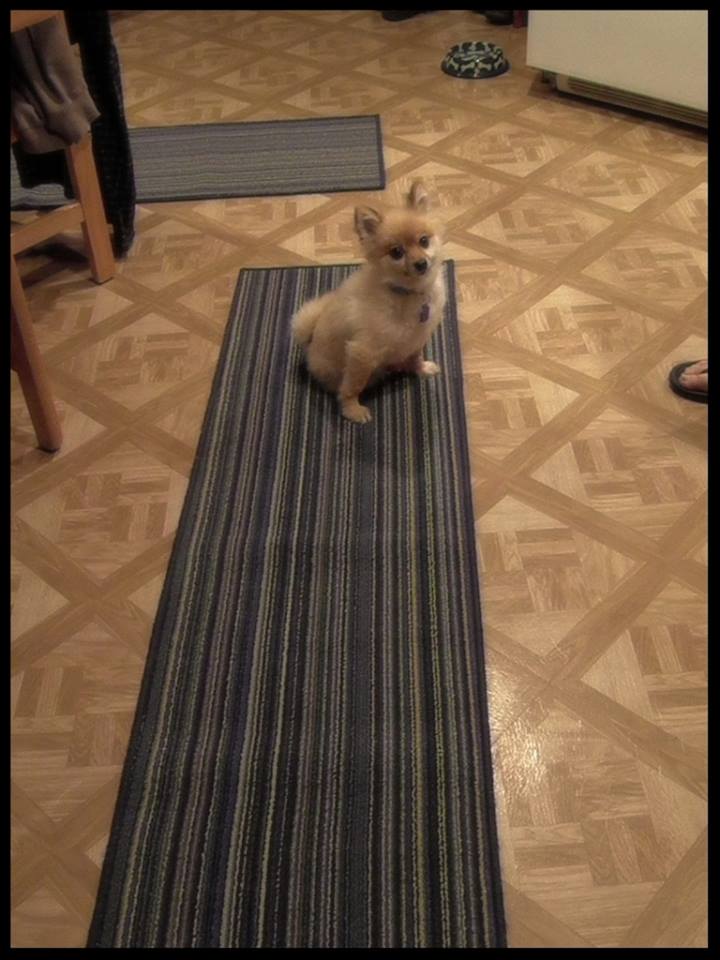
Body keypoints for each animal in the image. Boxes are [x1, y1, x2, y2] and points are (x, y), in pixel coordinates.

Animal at [291, 181, 446, 423]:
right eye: (396, 252)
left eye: (424, 241)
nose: (421, 263)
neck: (409, 293)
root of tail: (309, 340)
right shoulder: (362, 352)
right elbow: (352, 387)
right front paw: (352, 410)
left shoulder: (418, 337)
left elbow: (415, 355)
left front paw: (420, 368)